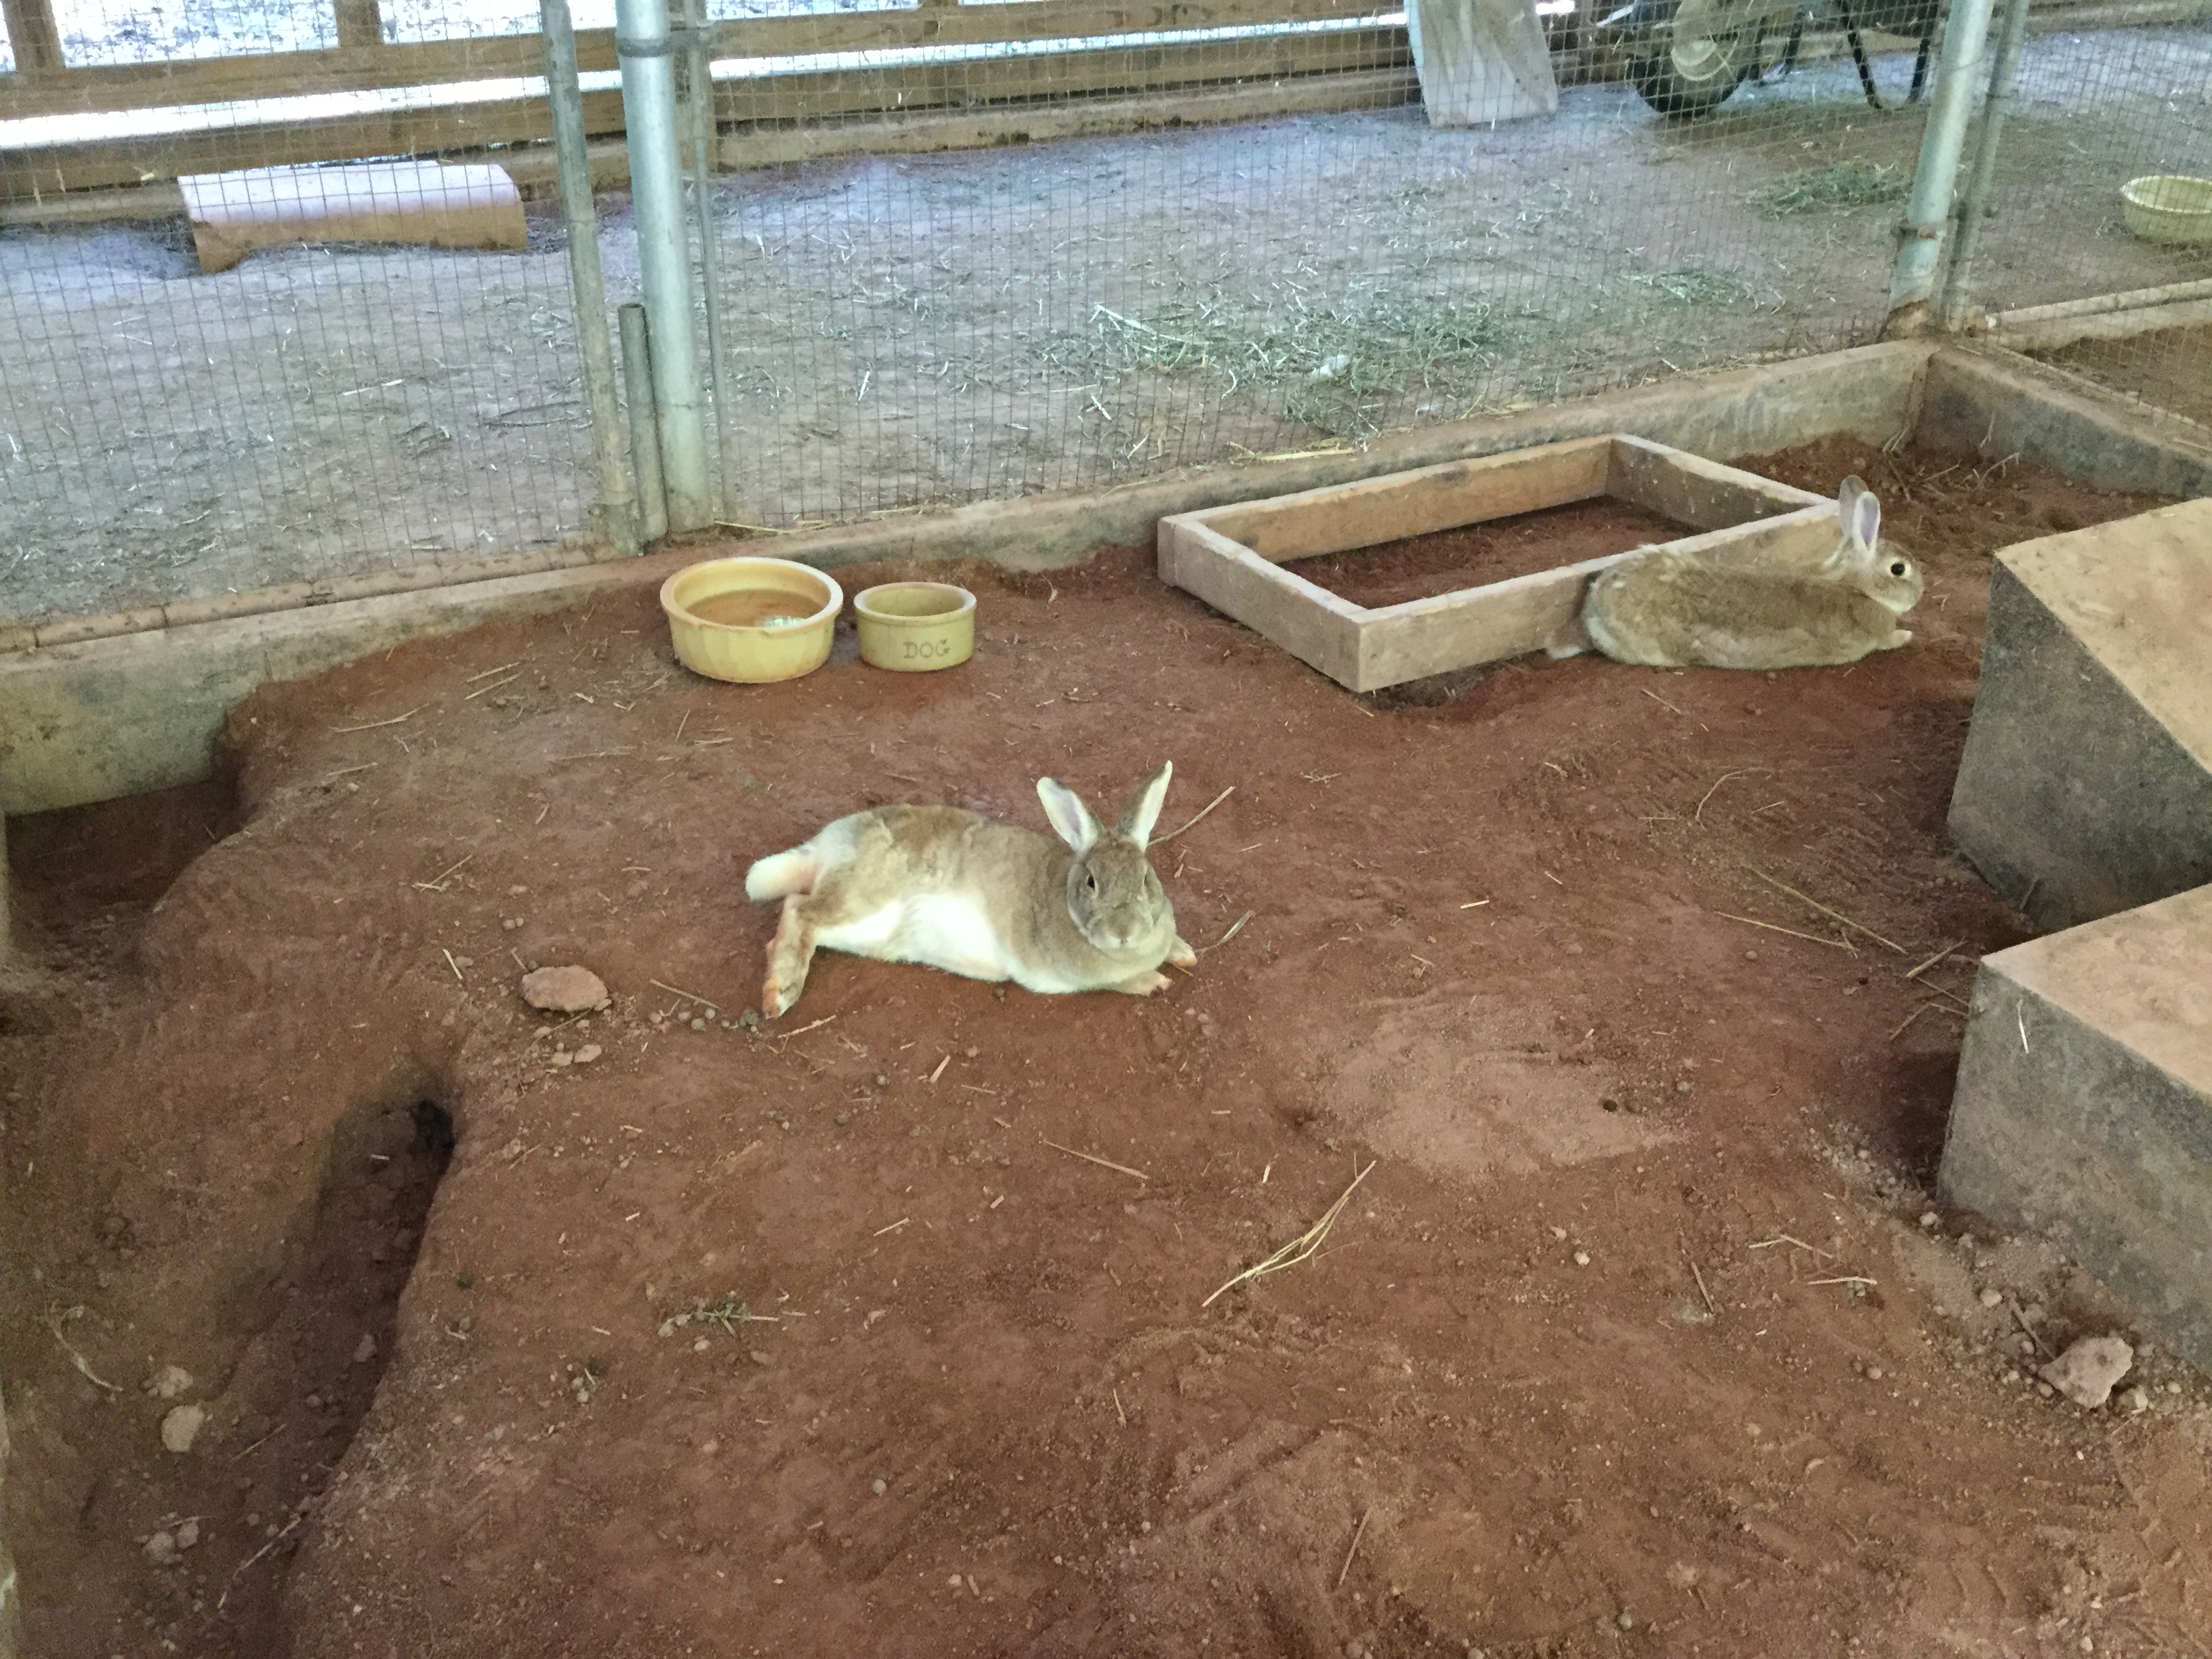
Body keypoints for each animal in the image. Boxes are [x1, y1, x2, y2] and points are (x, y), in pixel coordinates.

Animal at [743, 762, 1198, 1018]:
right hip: (862, 897)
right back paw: (779, 996)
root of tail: (827, 843)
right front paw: (1156, 982)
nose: (1124, 932)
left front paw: (1185, 954)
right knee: (800, 909)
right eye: (1091, 882)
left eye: (1146, 878)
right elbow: (1121, 981)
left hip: (865, 929)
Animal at [1553, 476, 1922, 670]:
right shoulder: (1876, 633)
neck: (1855, 585)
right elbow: (1889, 641)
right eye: (1899, 569)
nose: (1920, 592)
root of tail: (1593, 611)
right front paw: (1907, 636)